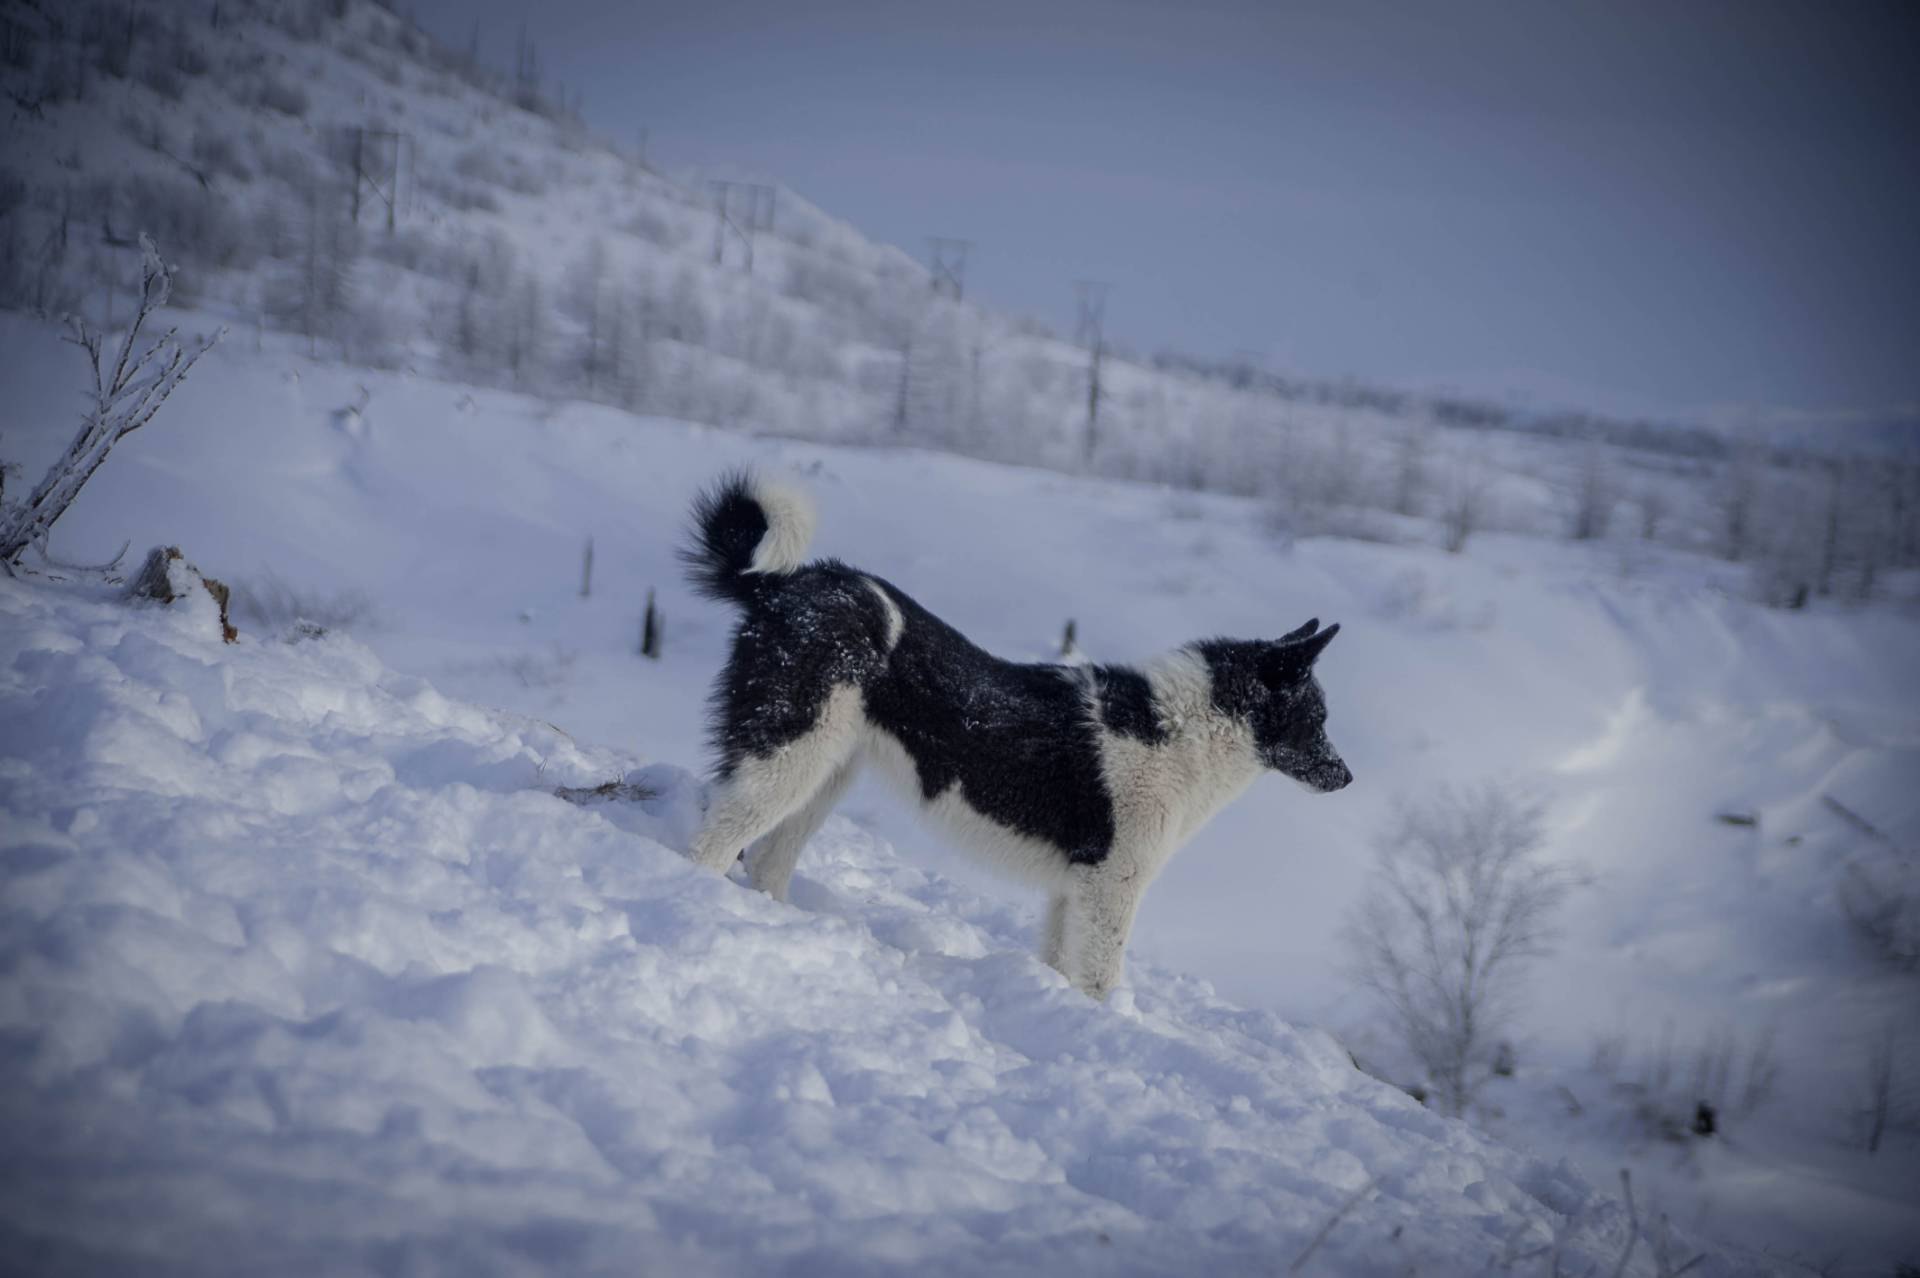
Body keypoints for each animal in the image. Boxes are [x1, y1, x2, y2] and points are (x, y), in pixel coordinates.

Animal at [683, 468, 1359, 997]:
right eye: (1317, 719)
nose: (1347, 777)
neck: (1180, 730)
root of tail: (782, 587)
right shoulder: (1112, 887)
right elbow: (1100, 979)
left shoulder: (1072, 891)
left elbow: (1061, 966)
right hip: (788, 756)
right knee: (713, 842)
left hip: (824, 774)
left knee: (767, 858)